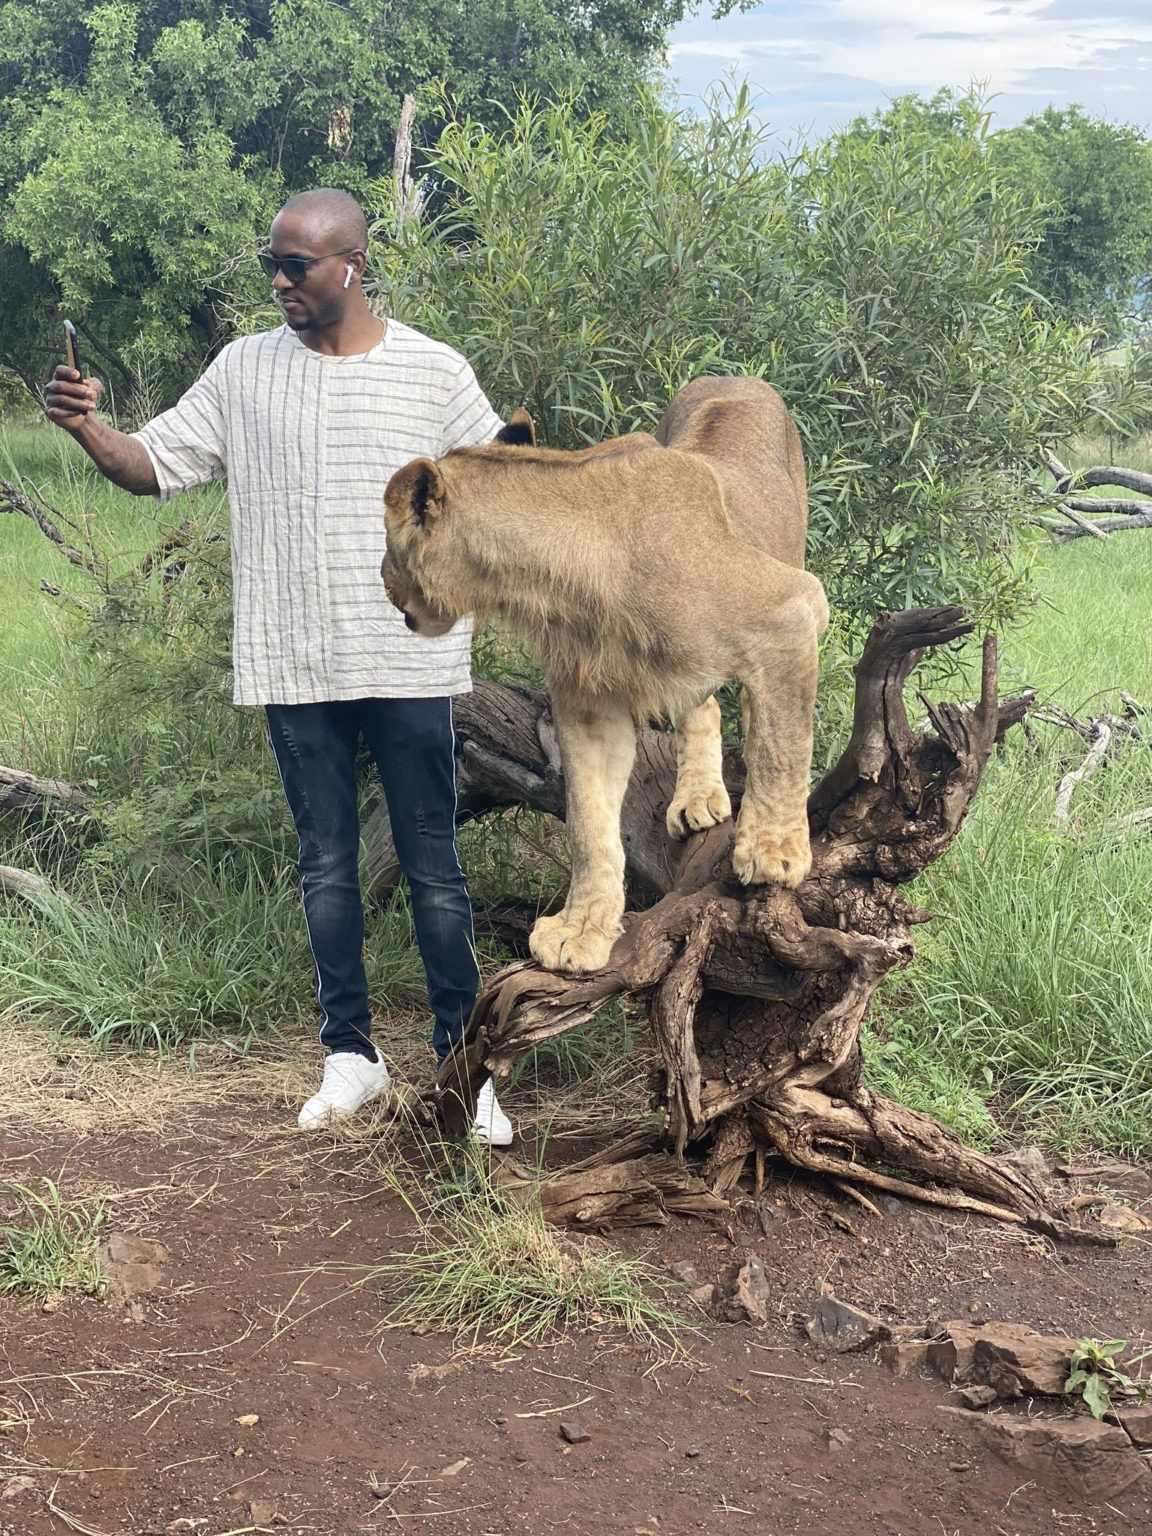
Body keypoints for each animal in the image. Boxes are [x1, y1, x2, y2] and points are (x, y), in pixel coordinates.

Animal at [382, 376, 828, 976]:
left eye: (387, 543)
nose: (383, 581)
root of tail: (736, 377)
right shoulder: (590, 703)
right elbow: (589, 825)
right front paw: (580, 929)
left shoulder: (792, 608)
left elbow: (783, 747)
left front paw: (775, 850)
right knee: (705, 704)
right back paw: (696, 798)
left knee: (762, 713)